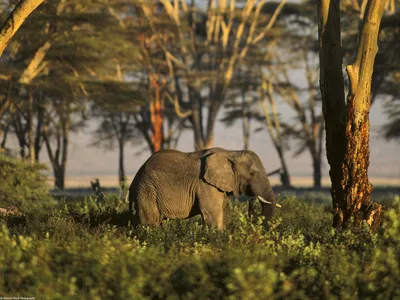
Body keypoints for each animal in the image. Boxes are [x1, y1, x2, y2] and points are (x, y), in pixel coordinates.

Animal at [128, 148, 278, 230]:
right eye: (252, 174)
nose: (251, 200)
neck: (231, 153)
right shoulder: (205, 184)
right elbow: (213, 214)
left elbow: (223, 212)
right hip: (147, 190)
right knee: (151, 222)